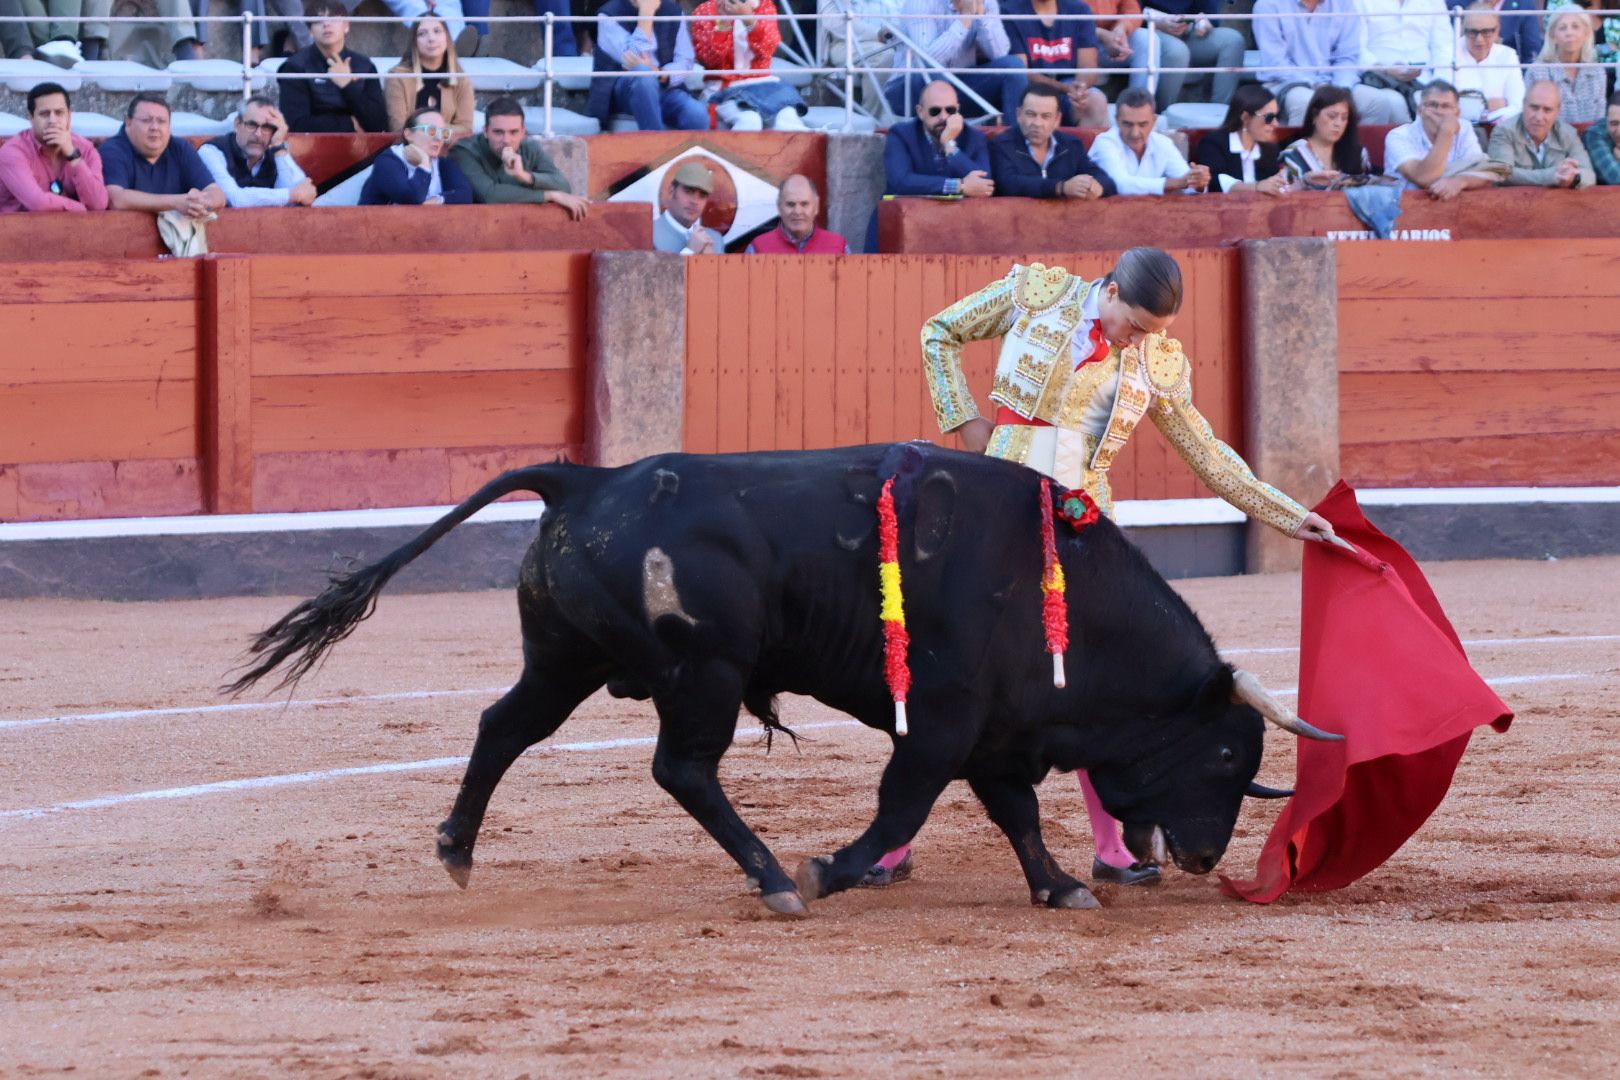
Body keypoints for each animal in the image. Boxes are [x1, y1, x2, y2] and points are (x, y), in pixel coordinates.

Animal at [231, 443, 1341, 919]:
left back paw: (458, 850)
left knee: (504, 725)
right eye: (1228, 751)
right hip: (702, 672)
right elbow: (903, 806)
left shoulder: (992, 732)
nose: (1204, 856)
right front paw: (826, 870)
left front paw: (1060, 885)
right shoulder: (943, 724)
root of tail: (584, 479)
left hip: (566, 657)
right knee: (683, 770)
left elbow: (1017, 815)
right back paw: (771, 879)